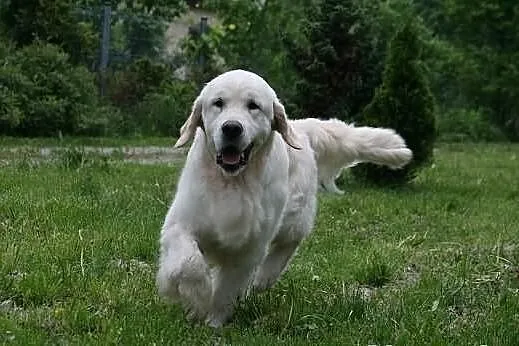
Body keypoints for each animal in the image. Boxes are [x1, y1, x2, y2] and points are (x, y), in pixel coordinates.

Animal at [154, 69, 410, 326]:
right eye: (218, 103)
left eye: (253, 106)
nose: (232, 128)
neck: (232, 181)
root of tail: (301, 128)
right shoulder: (180, 224)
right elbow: (189, 264)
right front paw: (196, 298)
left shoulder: (250, 247)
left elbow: (227, 288)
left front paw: (214, 322)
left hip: (294, 216)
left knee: (289, 244)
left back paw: (264, 278)